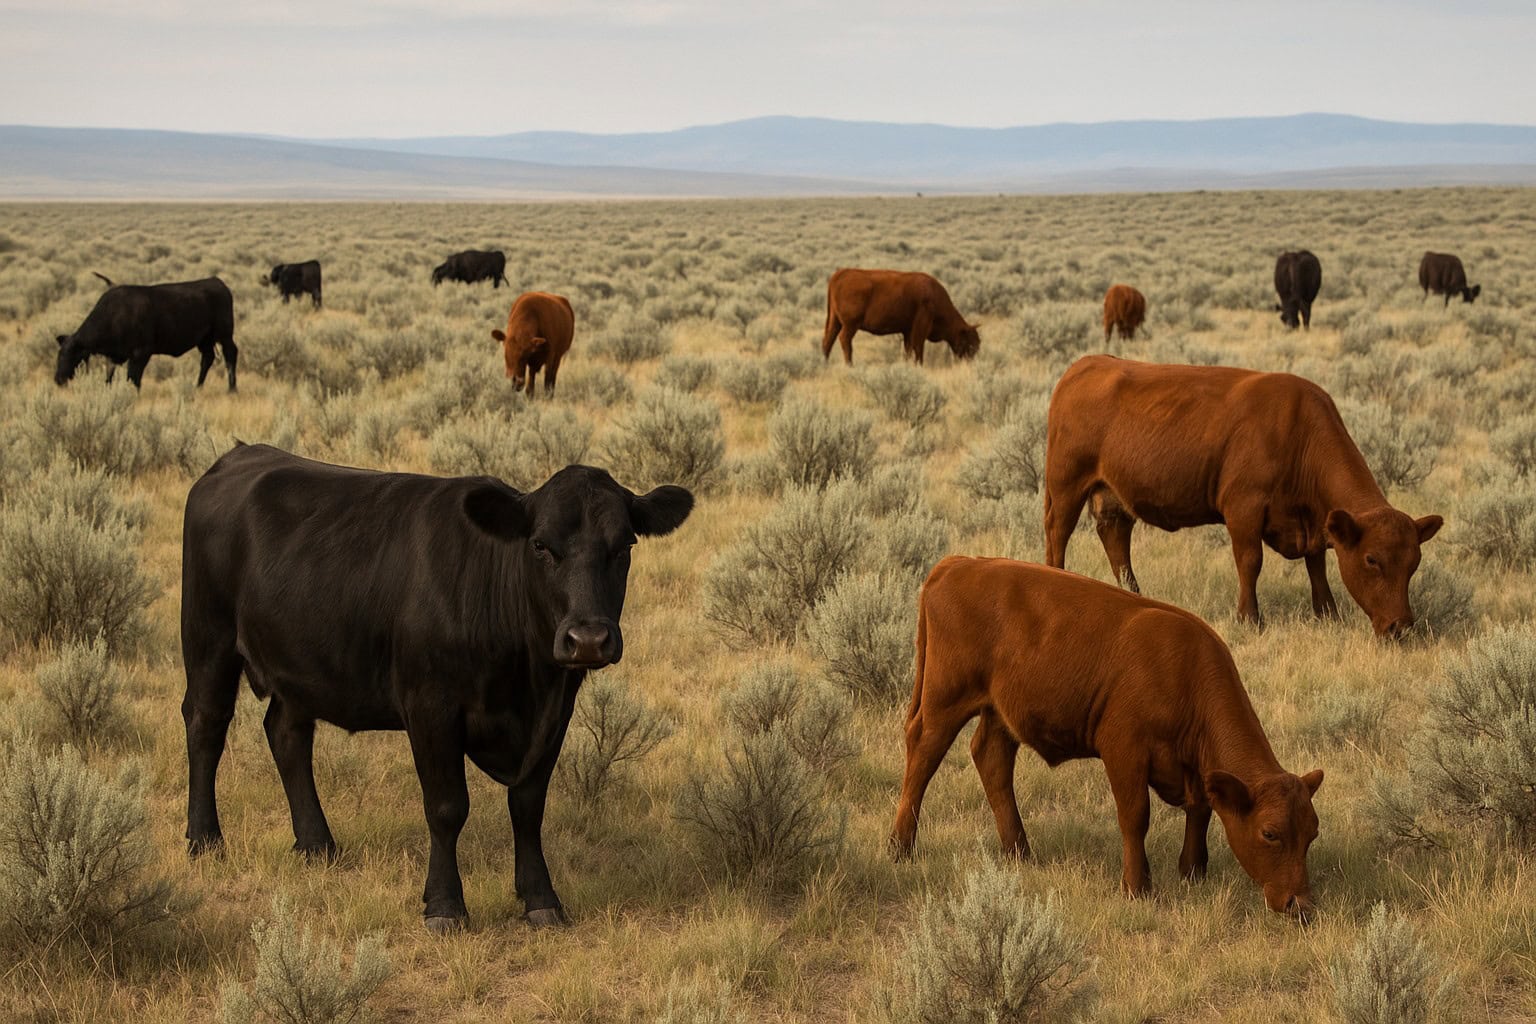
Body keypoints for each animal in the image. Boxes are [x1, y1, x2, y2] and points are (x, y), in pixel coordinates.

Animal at [56, 276, 237, 391]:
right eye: (59, 354)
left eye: (70, 355)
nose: (58, 379)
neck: (114, 315)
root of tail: (217, 281)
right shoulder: (113, 356)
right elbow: (109, 377)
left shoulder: (140, 353)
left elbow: (133, 378)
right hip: (204, 339)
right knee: (207, 358)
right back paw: (198, 387)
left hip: (225, 334)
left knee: (230, 354)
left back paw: (232, 389)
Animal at [180, 443, 694, 931]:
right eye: (540, 545)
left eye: (624, 546)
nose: (588, 638)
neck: (523, 681)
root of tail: (241, 455)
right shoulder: (431, 708)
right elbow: (447, 807)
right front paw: (445, 905)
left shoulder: (555, 712)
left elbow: (528, 806)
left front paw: (541, 899)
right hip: (208, 638)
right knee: (206, 725)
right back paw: (205, 839)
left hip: (299, 666)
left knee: (287, 734)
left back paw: (317, 844)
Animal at [821, 268, 980, 366]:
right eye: (970, 344)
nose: (971, 362)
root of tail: (842, 273)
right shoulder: (920, 328)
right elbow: (918, 349)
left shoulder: (907, 331)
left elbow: (908, 350)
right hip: (850, 325)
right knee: (844, 340)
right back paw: (850, 365)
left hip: (835, 321)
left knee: (828, 340)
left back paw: (825, 364)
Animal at [892, 556, 1325, 922]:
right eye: (1270, 833)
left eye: (1312, 833)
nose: (1300, 904)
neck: (1184, 672)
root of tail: (959, 563)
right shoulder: (1124, 751)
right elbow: (1135, 817)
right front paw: (1137, 886)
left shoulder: (1195, 769)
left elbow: (1200, 810)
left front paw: (1192, 871)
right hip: (945, 699)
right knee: (923, 755)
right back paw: (901, 845)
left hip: (999, 713)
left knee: (992, 762)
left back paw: (1019, 852)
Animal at [1043, 356, 1443, 638]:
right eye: (1372, 560)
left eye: (1414, 563)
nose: (1400, 626)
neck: (1298, 433)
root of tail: (1088, 363)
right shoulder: (1243, 507)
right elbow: (1250, 562)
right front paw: (1250, 618)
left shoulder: (1314, 522)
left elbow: (1316, 565)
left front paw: (1328, 613)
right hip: (1066, 485)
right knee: (1058, 533)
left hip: (1112, 495)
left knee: (1116, 540)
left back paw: (1134, 596)